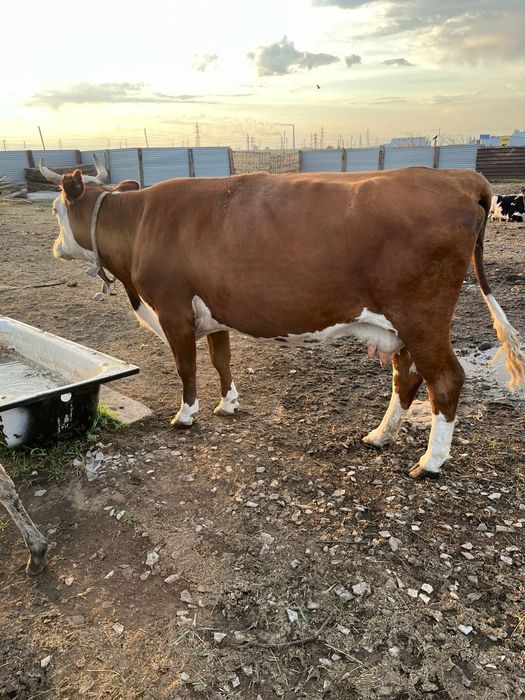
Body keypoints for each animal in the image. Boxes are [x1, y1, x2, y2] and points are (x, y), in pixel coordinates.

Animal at [40, 158, 525, 480]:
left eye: (54, 210)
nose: (55, 248)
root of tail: (458, 176)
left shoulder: (173, 310)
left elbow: (186, 367)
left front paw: (185, 415)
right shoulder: (213, 312)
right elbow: (220, 360)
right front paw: (228, 404)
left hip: (422, 318)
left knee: (444, 380)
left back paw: (431, 462)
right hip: (400, 326)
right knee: (405, 378)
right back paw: (379, 435)